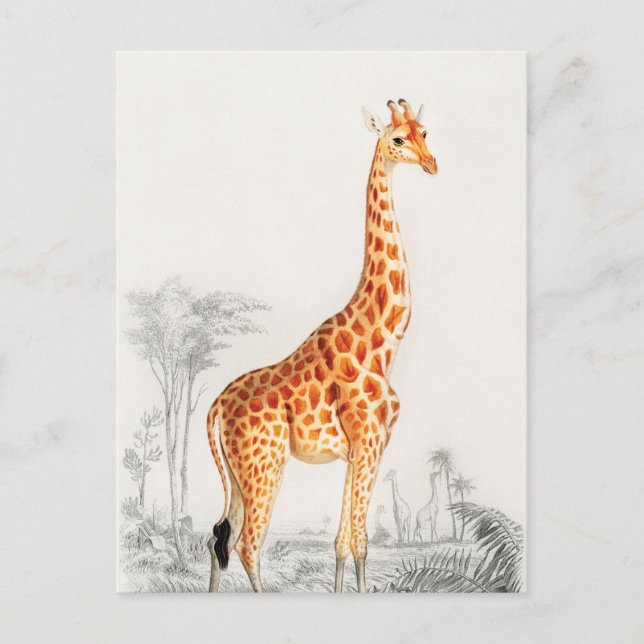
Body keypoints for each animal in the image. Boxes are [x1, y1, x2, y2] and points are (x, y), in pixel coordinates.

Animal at [206, 98, 438, 593]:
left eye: (425, 132)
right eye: (397, 139)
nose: (432, 164)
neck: (383, 342)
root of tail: (214, 408)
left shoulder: (361, 450)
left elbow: (343, 543)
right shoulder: (368, 441)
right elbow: (360, 542)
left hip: (236, 473)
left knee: (217, 539)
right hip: (264, 466)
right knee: (246, 545)